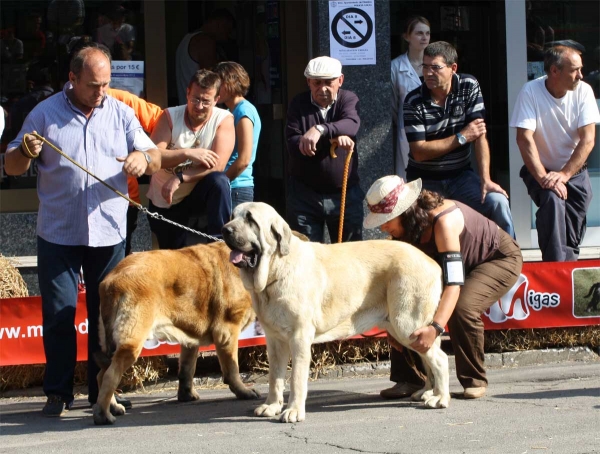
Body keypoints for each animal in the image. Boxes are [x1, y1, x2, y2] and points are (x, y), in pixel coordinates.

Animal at [93, 241, 260, 426]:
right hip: (132, 342)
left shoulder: (190, 340)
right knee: (110, 375)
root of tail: (111, 281)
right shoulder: (228, 333)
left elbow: (187, 369)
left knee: (101, 374)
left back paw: (113, 407)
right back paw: (103, 414)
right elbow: (232, 368)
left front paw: (186, 395)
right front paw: (243, 391)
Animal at [223, 202, 448, 422]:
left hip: (407, 324)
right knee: (428, 356)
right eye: (232, 216)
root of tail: (432, 262)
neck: (277, 268)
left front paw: (294, 411)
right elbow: (274, 377)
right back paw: (429, 392)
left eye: (250, 219)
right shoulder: (274, 340)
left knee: (440, 358)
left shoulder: (299, 336)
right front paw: (271, 406)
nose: (225, 229)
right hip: (402, 328)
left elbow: (296, 378)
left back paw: (441, 399)